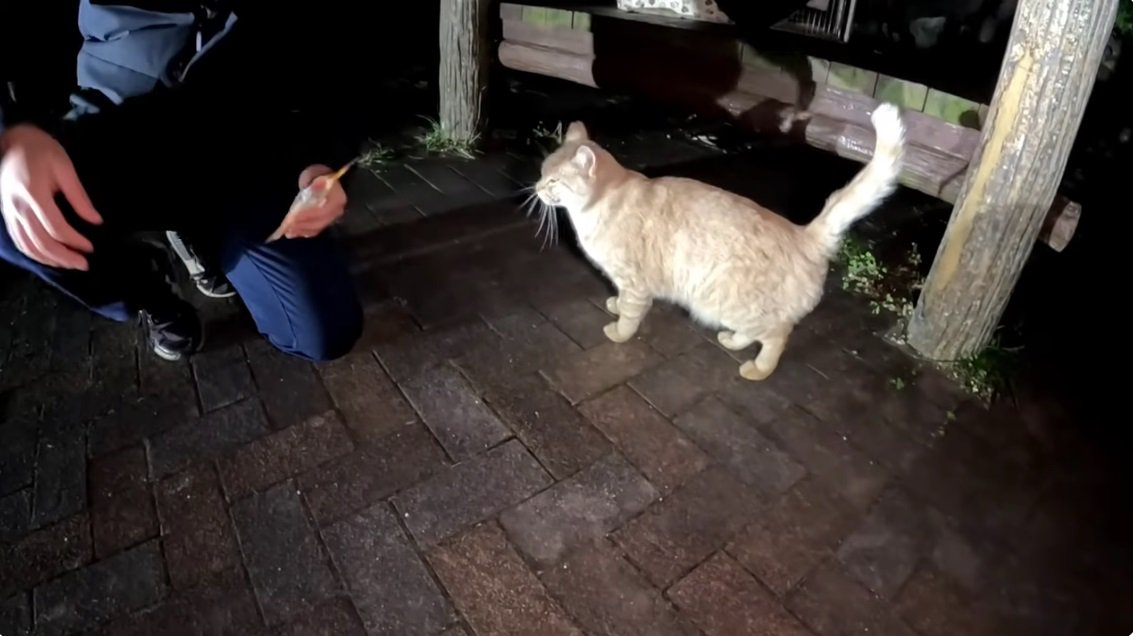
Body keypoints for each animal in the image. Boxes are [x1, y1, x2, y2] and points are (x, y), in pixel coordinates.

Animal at [534, 103, 906, 376]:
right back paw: (734, 341)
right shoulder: (626, 283)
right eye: (541, 172)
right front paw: (614, 305)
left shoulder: (635, 282)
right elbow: (622, 302)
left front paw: (618, 332)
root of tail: (805, 234)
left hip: (734, 305)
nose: (535, 188)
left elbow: (630, 315)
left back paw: (758, 369)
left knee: (777, 336)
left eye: (553, 181)